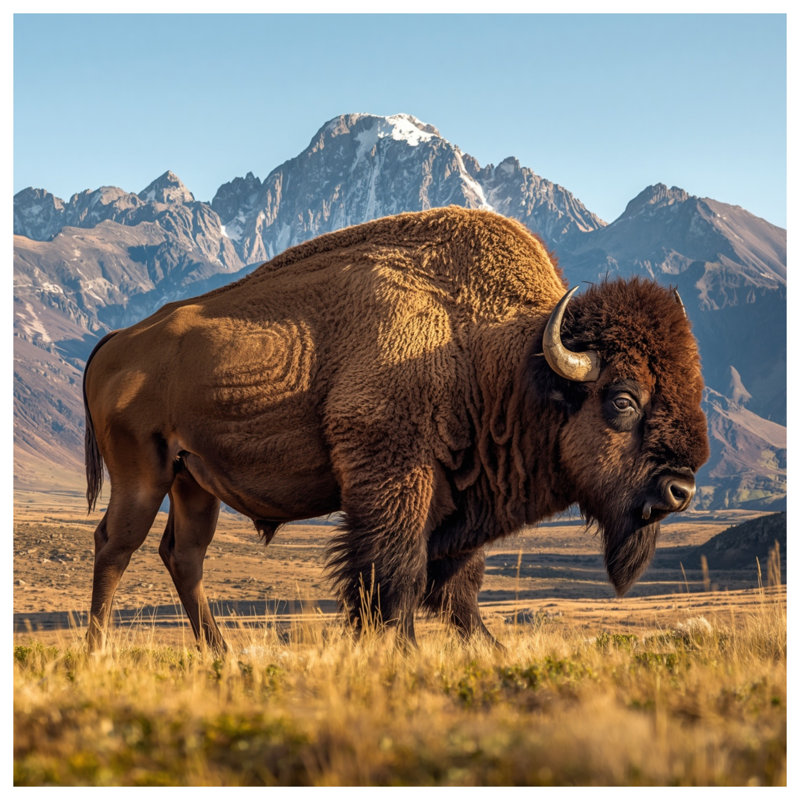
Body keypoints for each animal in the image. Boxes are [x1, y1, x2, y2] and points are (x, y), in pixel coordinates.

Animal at [83, 206, 709, 652]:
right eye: (622, 400)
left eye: (693, 389)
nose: (681, 489)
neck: (498, 358)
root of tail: (115, 342)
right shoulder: (394, 481)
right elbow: (395, 576)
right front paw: (403, 652)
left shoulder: (457, 506)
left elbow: (456, 588)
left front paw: (487, 650)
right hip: (143, 477)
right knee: (116, 546)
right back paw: (98, 648)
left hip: (194, 483)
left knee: (183, 556)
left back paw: (221, 653)